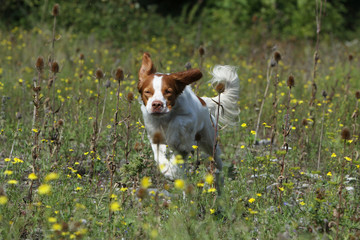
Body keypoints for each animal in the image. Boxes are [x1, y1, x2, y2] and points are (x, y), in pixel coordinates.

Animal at [138, 52, 239, 191]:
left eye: (168, 91)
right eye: (147, 92)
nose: (157, 104)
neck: (164, 119)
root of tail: (204, 101)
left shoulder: (187, 119)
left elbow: (177, 122)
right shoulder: (154, 136)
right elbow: (160, 156)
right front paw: (168, 171)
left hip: (210, 142)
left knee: (218, 165)